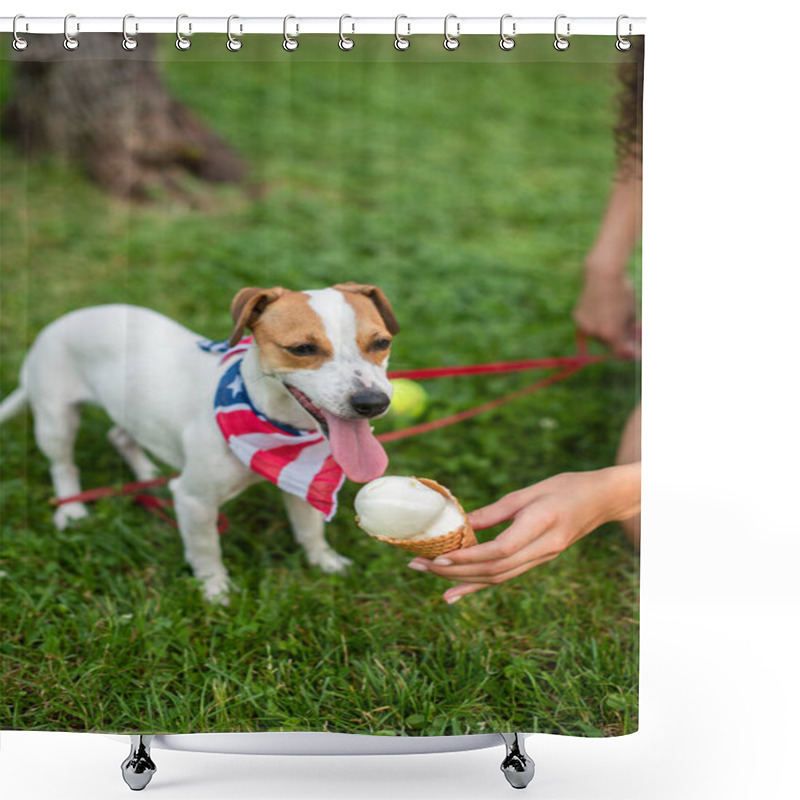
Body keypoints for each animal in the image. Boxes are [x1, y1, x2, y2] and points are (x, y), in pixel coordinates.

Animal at [0, 282, 400, 600]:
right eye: (302, 349)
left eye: (382, 342)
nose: (372, 402)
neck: (275, 423)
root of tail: (64, 320)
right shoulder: (195, 501)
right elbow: (207, 549)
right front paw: (215, 590)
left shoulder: (301, 481)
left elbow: (310, 529)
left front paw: (324, 561)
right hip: (55, 419)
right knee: (63, 464)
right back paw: (71, 510)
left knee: (121, 435)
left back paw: (146, 472)